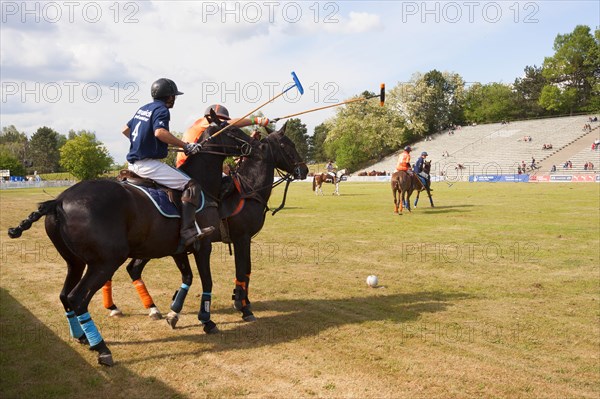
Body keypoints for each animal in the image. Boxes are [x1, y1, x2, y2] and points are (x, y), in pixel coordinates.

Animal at [6, 123, 253, 368]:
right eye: (232, 130)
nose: (252, 144)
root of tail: (58, 201)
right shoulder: (204, 244)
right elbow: (207, 281)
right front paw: (207, 321)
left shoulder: (179, 249)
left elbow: (188, 277)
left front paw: (174, 314)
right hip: (105, 262)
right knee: (77, 298)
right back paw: (101, 348)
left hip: (74, 262)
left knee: (64, 295)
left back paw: (82, 336)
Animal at [102, 124, 310, 324]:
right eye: (287, 144)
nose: (304, 170)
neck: (249, 189)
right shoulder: (240, 238)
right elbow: (242, 271)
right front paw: (243, 307)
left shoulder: (243, 239)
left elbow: (246, 270)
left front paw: (241, 301)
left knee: (132, 269)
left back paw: (137, 308)